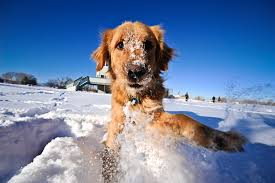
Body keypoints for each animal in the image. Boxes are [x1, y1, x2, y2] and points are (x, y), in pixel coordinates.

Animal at [92, 21, 246, 153]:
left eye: (148, 44)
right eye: (120, 45)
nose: (136, 72)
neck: (137, 98)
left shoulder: (154, 116)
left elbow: (184, 118)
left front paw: (220, 138)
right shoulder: (119, 119)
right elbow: (113, 139)